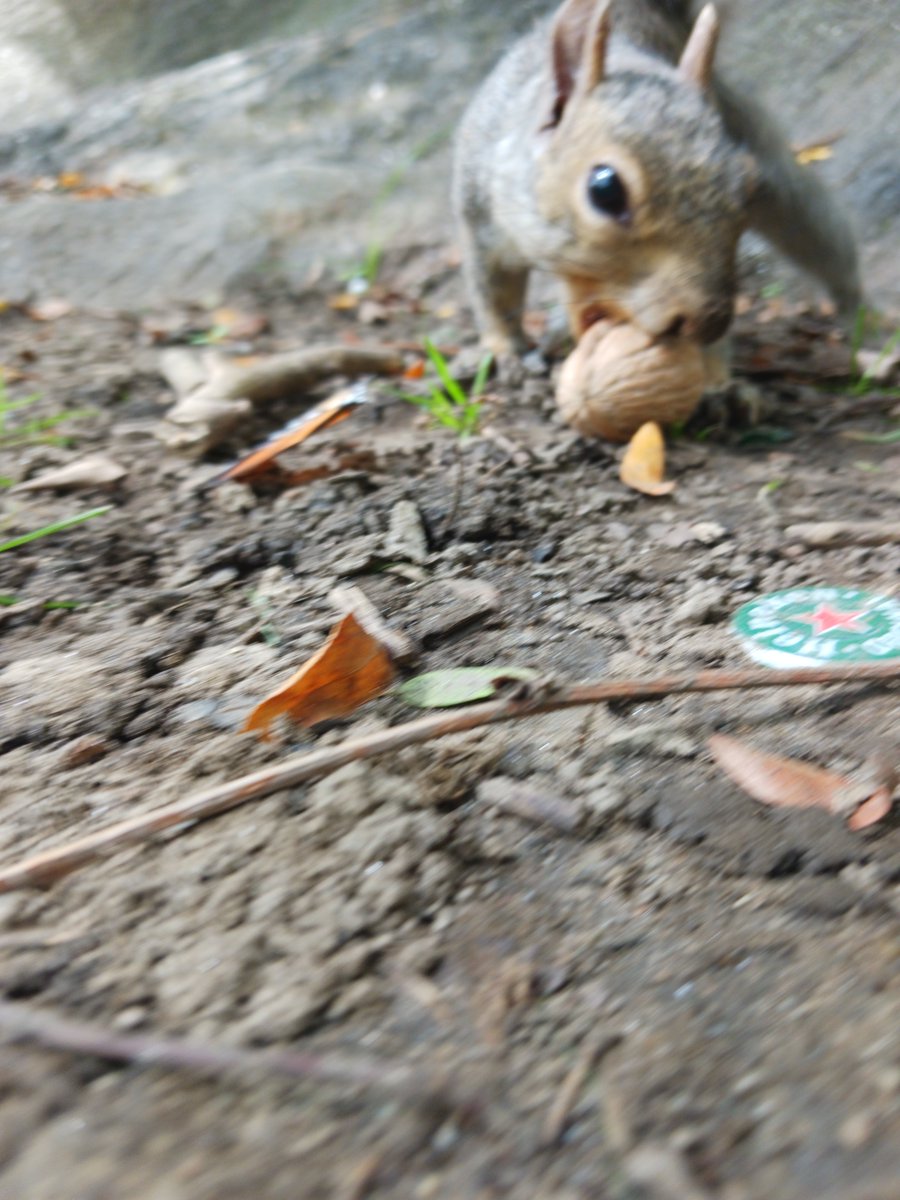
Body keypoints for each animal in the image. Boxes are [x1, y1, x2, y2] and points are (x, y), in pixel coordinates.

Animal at [453, 0, 864, 357]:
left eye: (747, 188)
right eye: (605, 190)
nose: (707, 324)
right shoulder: (481, 215)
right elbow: (493, 290)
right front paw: (507, 351)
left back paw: (864, 322)